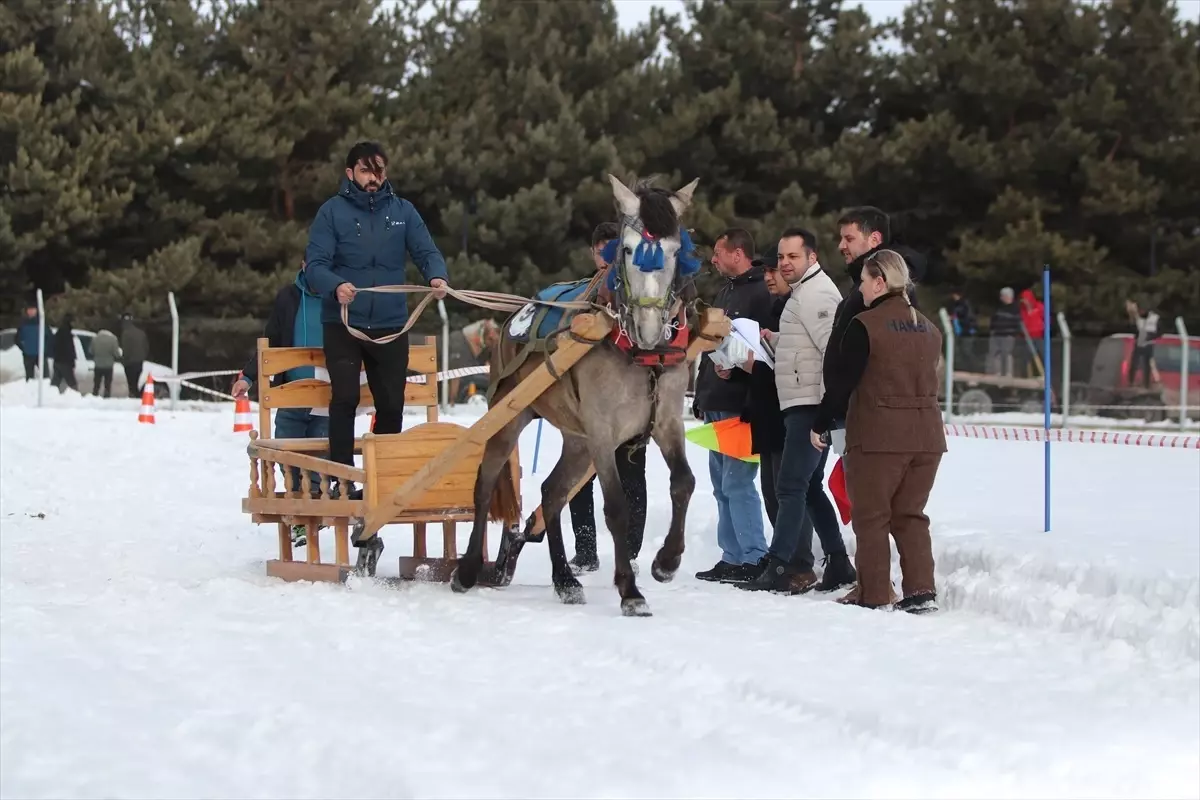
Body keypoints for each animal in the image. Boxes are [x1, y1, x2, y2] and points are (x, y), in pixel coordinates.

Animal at [451, 173, 700, 614]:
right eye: (628, 249)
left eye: (675, 250)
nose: (650, 327)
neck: (637, 352)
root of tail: (514, 317)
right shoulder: (602, 432)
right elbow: (616, 506)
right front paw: (629, 590)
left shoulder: (668, 421)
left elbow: (683, 482)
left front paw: (667, 562)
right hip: (510, 414)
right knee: (485, 483)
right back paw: (468, 569)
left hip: (576, 438)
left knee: (552, 493)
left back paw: (564, 579)